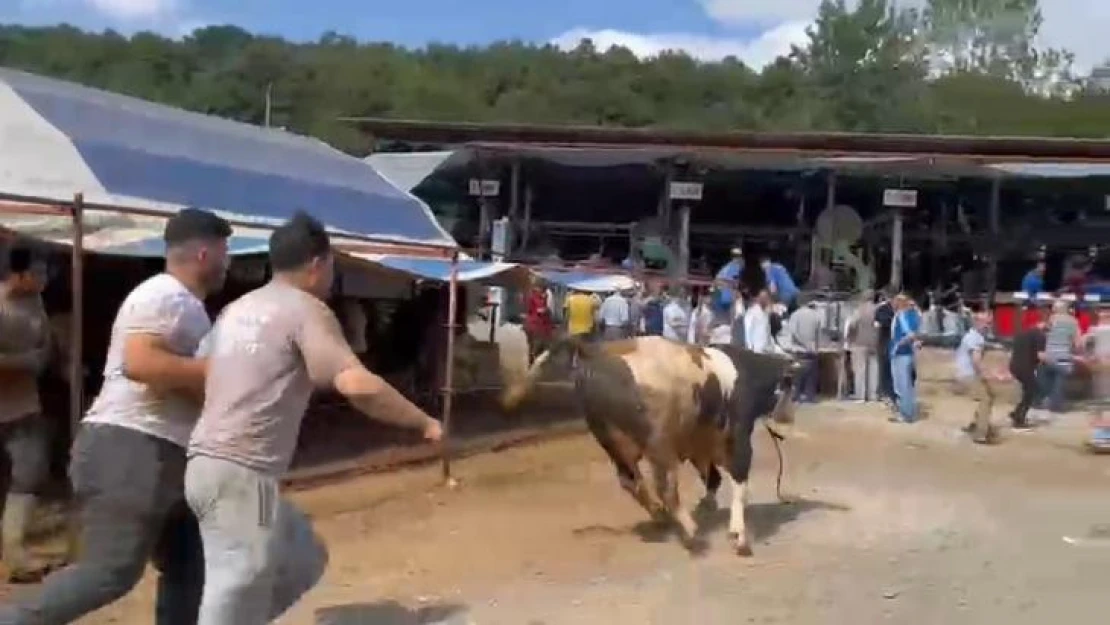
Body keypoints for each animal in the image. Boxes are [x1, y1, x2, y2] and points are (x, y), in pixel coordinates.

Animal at [503, 335, 799, 555]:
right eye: (789, 389)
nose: (789, 416)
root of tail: (595, 352)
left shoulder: (700, 442)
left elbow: (712, 477)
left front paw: (708, 505)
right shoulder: (736, 438)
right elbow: (738, 484)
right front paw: (739, 537)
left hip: (615, 443)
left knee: (632, 481)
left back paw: (661, 515)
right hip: (660, 446)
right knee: (665, 488)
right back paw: (690, 532)